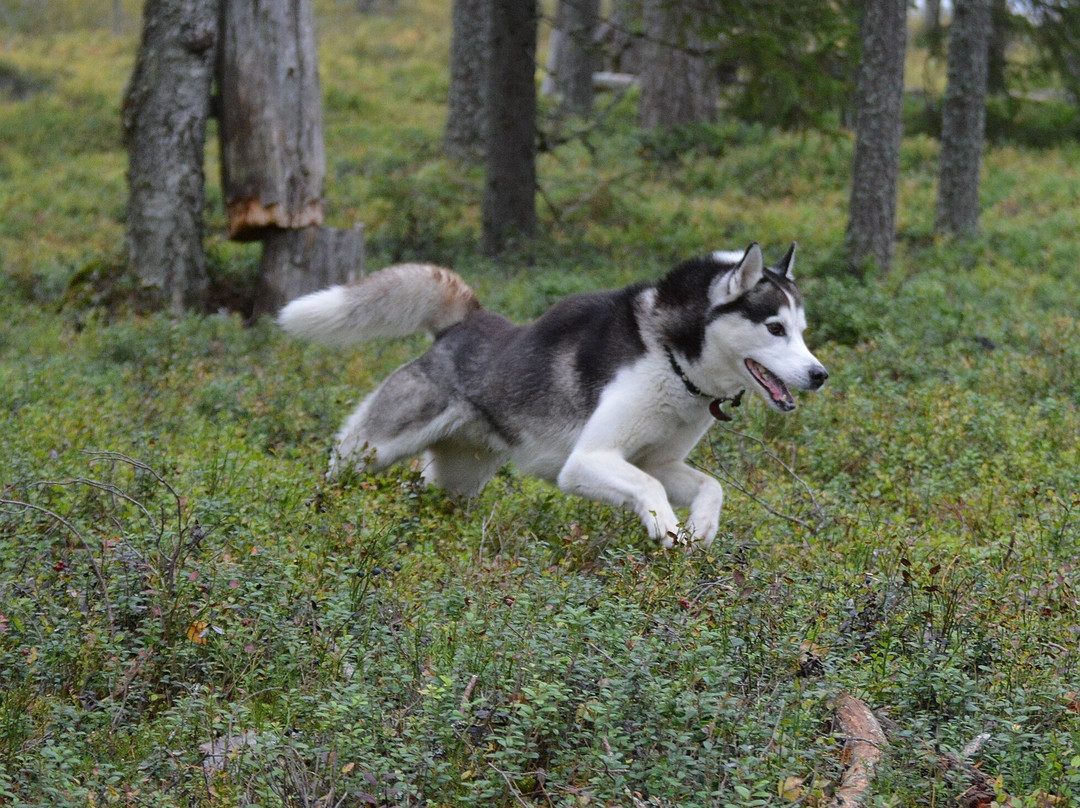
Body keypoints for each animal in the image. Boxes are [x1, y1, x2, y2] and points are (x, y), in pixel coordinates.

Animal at [278, 244, 825, 548]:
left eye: (802, 330)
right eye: (774, 328)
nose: (819, 374)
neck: (671, 357)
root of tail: (467, 320)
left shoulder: (659, 461)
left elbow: (711, 486)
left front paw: (702, 528)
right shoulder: (588, 461)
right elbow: (648, 490)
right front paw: (666, 527)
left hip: (457, 481)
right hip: (368, 453)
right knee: (331, 479)